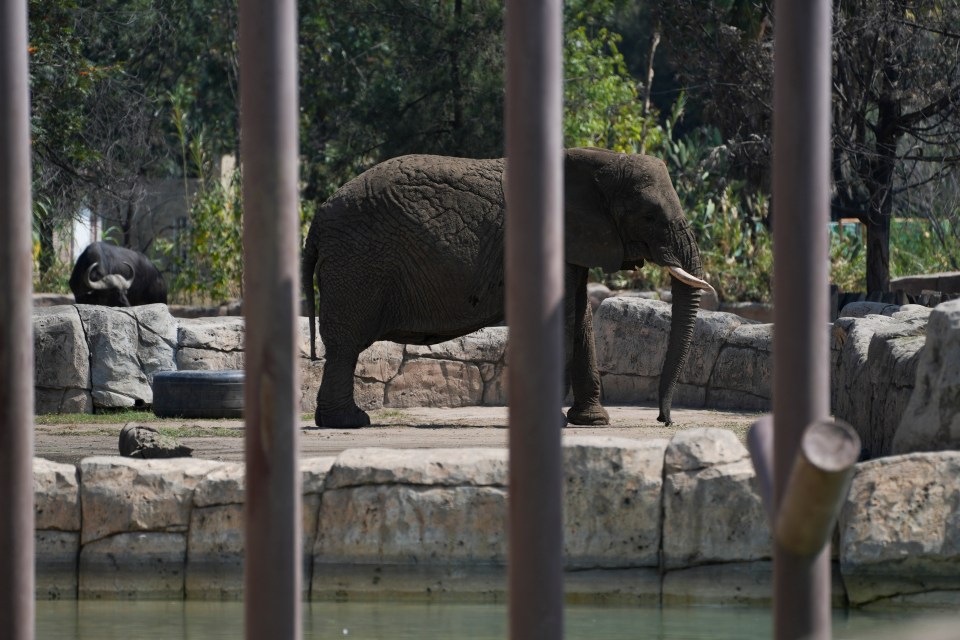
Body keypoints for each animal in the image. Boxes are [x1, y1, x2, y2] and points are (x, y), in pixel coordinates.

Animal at [302, 147, 715, 428]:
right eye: (649, 216)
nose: (665, 420)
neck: (598, 160)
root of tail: (317, 220)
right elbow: (565, 322)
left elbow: (582, 319)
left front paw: (593, 422)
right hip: (359, 262)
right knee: (345, 345)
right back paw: (350, 422)